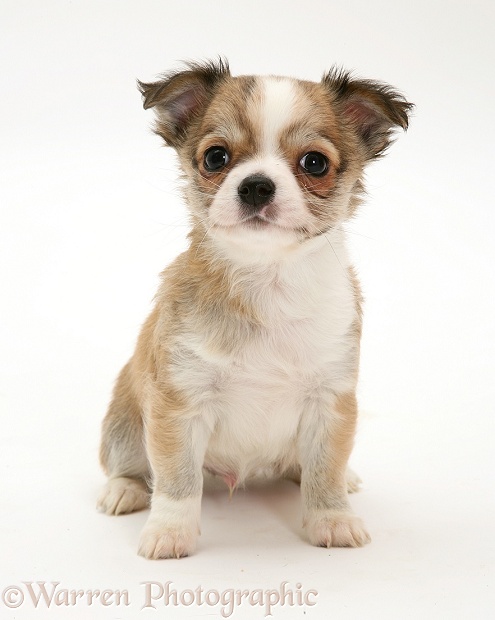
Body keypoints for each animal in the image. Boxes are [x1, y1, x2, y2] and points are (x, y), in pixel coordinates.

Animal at [98, 59, 414, 560]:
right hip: (127, 425)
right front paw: (170, 530)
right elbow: (177, 480)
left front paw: (333, 518)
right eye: (215, 158)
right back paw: (124, 490)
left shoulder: (329, 404)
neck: (270, 281)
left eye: (314, 163)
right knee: (132, 466)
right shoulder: (179, 406)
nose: (256, 186)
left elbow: (325, 470)